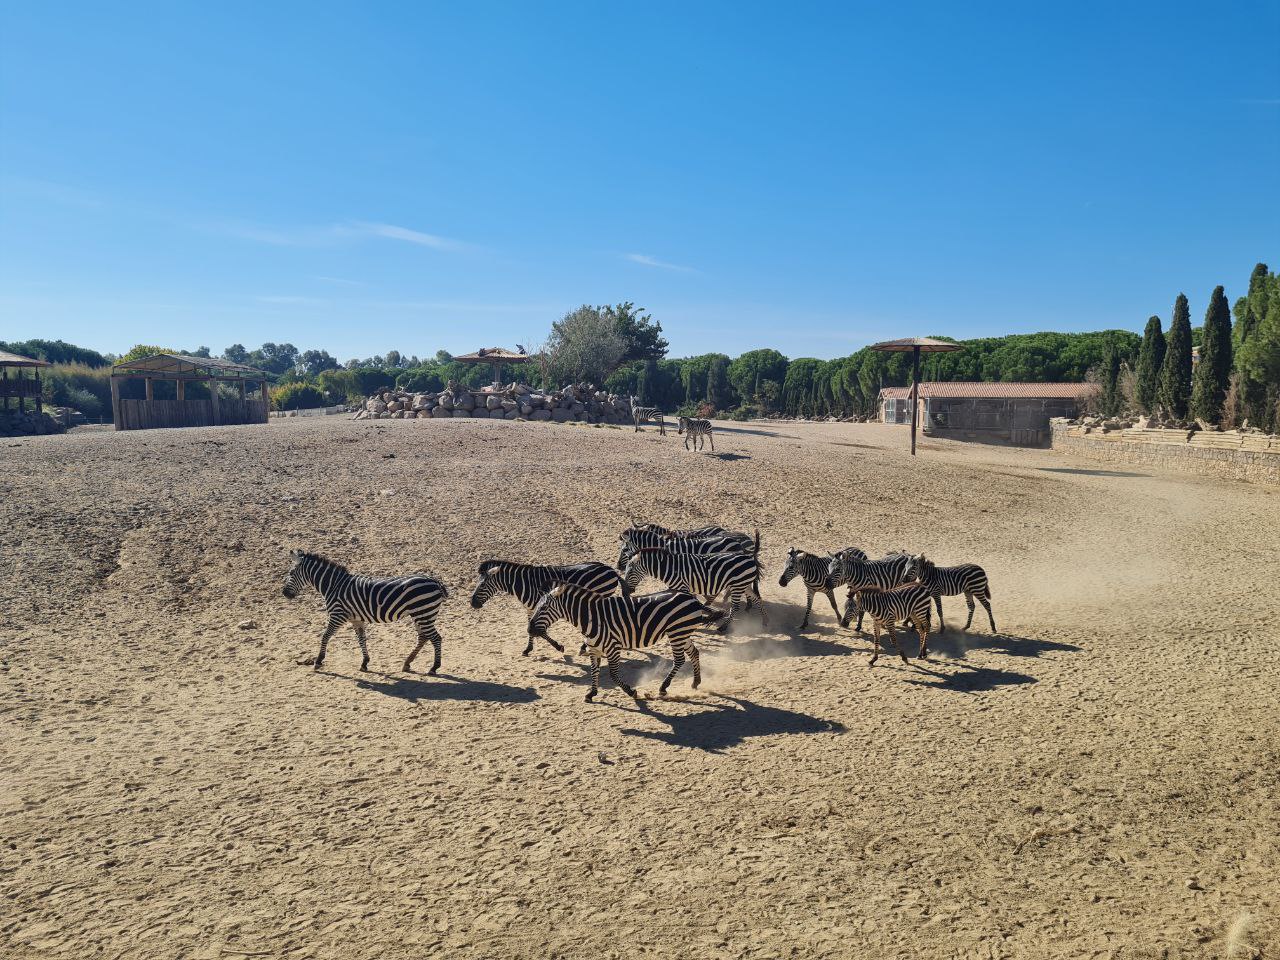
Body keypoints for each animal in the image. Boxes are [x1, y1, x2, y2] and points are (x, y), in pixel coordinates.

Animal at [282, 547, 448, 675]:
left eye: (291, 573)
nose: (284, 593)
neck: (334, 585)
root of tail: (435, 581)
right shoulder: (356, 619)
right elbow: (361, 639)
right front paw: (364, 663)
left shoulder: (338, 615)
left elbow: (325, 636)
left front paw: (318, 661)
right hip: (421, 614)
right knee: (423, 637)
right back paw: (407, 663)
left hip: (423, 613)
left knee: (435, 638)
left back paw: (434, 668)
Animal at [473, 560, 627, 660]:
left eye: (482, 585)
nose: (472, 603)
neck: (524, 583)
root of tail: (610, 569)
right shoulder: (532, 609)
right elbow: (530, 629)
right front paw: (528, 649)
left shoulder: (542, 607)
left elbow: (540, 631)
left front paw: (559, 647)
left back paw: (583, 647)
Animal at [524, 583, 727, 701]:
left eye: (544, 608)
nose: (529, 629)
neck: (592, 618)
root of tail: (691, 597)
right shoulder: (594, 649)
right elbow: (594, 672)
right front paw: (591, 693)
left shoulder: (613, 648)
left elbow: (613, 675)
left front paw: (631, 692)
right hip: (682, 632)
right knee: (694, 653)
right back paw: (696, 682)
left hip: (677, 633)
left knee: (679, 660)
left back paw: (663, 687)